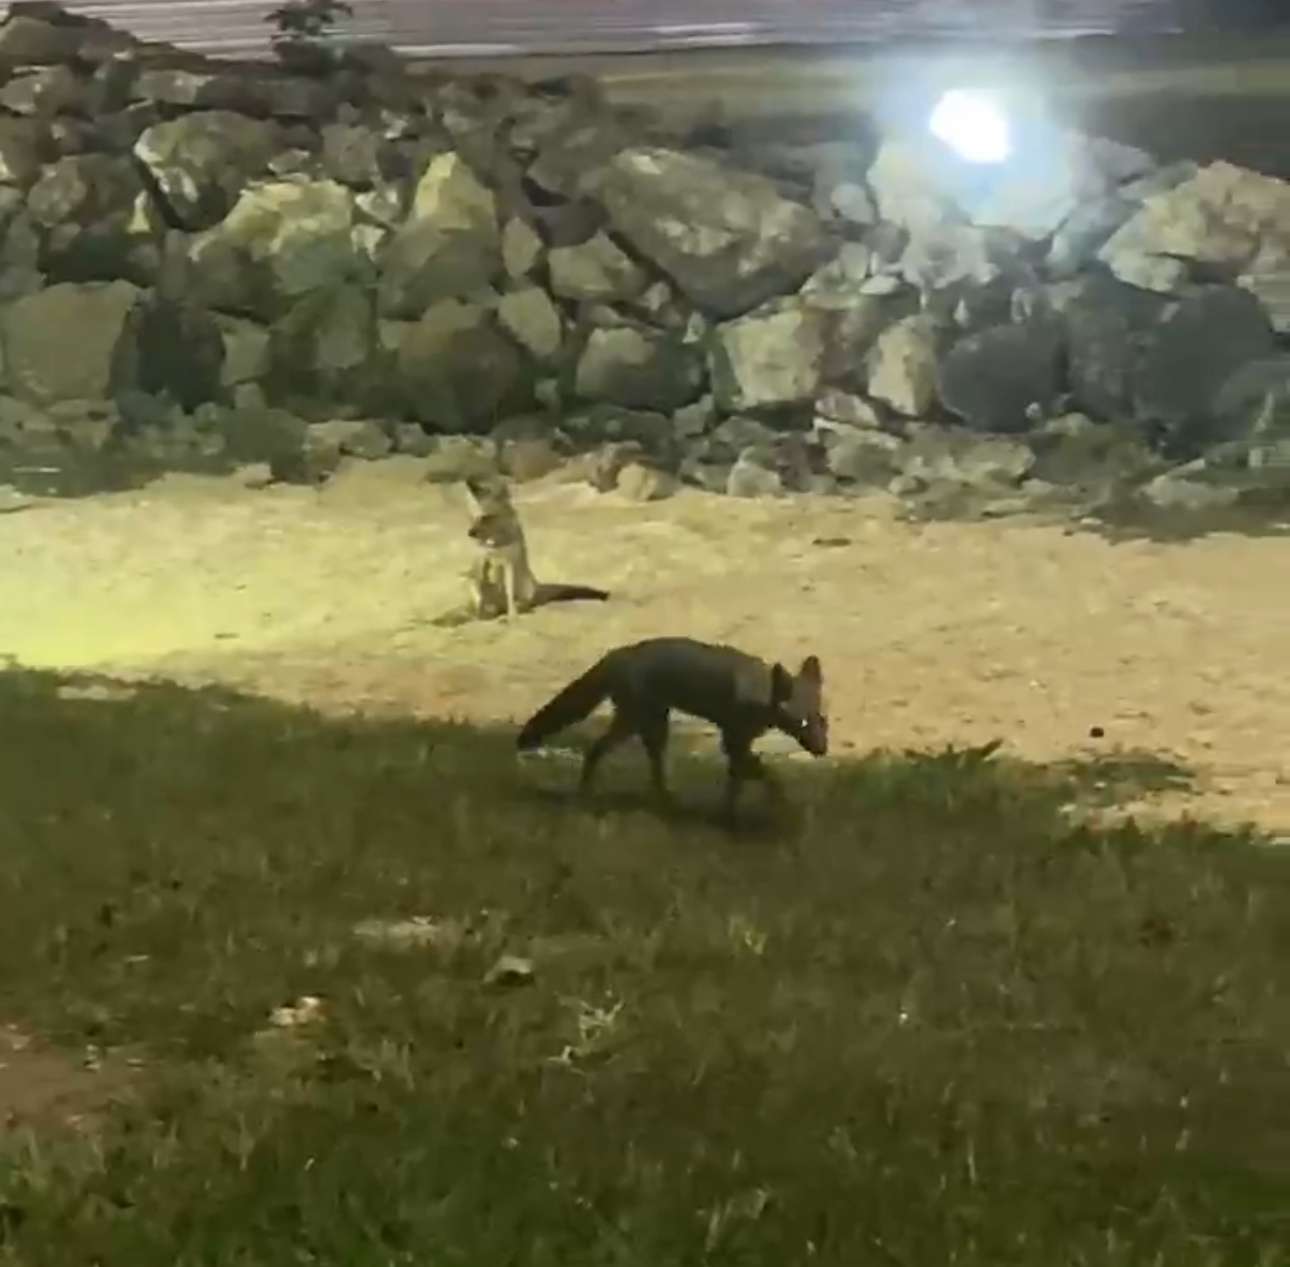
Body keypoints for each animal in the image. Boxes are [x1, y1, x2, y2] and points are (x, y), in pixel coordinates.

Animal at [513, 634, 825, 825]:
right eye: (802, 723)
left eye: (822, 720)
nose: (823, 751)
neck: (760, 694)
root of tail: (616, 654)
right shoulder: (733, 740)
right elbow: (760, 774)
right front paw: (770, 804)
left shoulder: (738, 743)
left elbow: (738, 782)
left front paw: (729, 818)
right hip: (640, 724)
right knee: (599, 752)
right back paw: (590, 796)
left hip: (648, 726)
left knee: (637, 767)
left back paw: (662, 803)